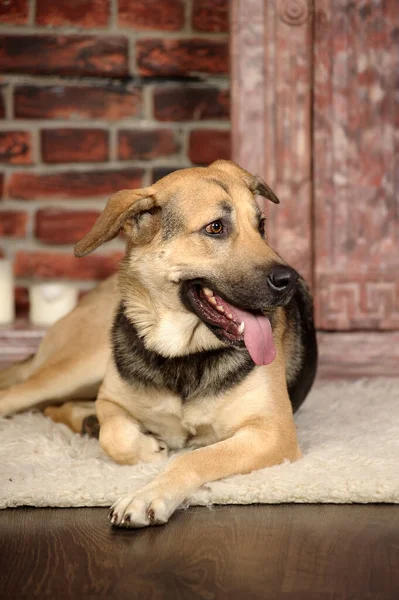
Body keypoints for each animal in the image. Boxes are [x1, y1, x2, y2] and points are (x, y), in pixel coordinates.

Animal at [0, 161, 318, 528]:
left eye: (261, 225)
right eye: (216, 227)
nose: (289, 280)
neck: (182, 354)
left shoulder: (273, 432)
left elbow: (193, 458)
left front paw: (146, 495)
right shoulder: (111, 399)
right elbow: (115, 434)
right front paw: (145, 449)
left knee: (55, 406)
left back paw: (86, 422)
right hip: (76, 367)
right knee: (21, 398)